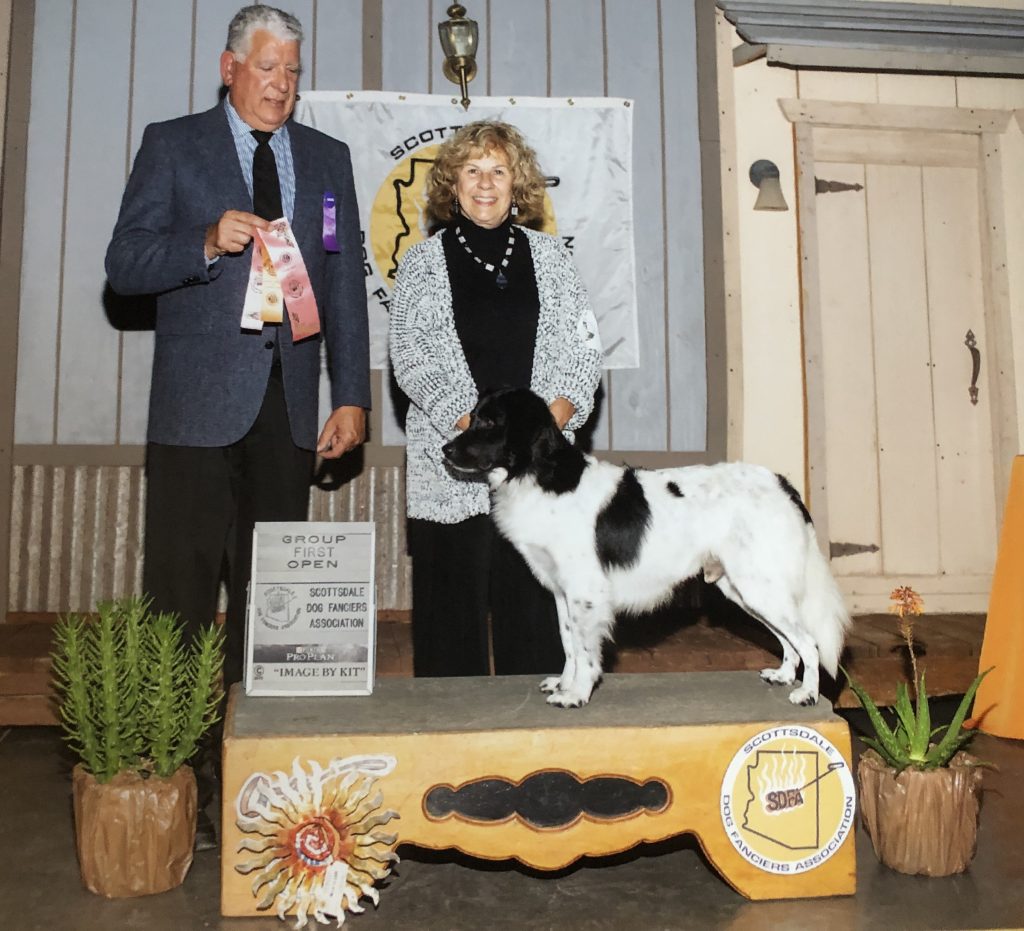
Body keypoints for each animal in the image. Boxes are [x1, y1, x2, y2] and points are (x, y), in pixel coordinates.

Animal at [444, 389, 851, 708]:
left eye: (489, 423)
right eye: (473, 417)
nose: (445, 448)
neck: (544, 475)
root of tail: (783, 485)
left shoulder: (585, 593)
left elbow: (585, 649)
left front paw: (575, 694)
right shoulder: (562, 592)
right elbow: (568, 642)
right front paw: (563, 683)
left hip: (760, 585)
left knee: (808, 641)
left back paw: (807, 694)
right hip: (744, 589)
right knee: (789, 639)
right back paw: (783, 676)